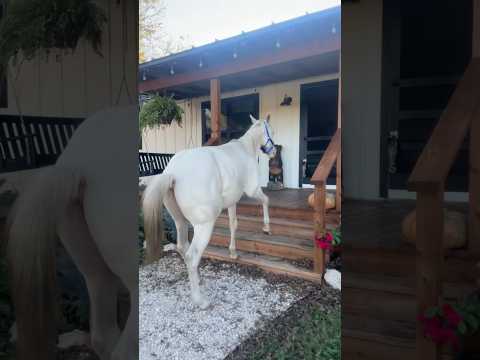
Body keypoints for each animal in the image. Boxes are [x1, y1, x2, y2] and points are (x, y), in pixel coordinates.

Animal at [142, 114, 276, 308]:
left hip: (180, 222)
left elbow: (233, 224)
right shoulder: (252, 190)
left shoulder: (232, 201)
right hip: (204, 225)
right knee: (192, 255)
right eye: (271, 131)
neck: (245, 149)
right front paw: (266, 227)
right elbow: (266, 200)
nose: (273, 152)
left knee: (183, 247)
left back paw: (198, 281)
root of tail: (173, 173)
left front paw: (233, 252)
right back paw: (200, 300)